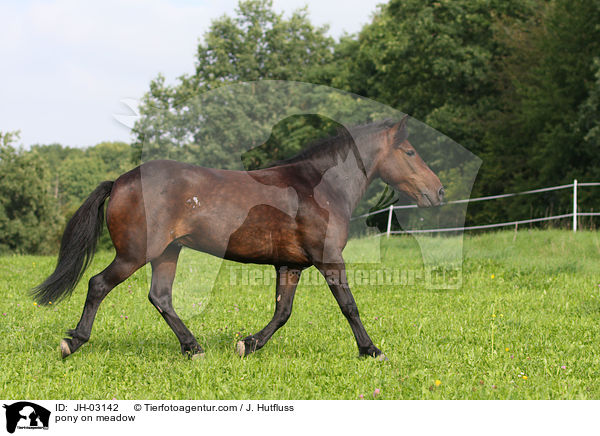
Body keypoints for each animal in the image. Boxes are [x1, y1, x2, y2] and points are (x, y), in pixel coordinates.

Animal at [34, 114, 446, 360]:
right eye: (410, 151)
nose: (439, 191)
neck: (319, 188)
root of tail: (120, 181)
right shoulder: (328, 258)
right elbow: (349, 306)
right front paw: (371, 350)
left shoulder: (290, 265)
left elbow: (282, 312)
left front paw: (247, 344)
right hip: (135, 254)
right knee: (98, 284)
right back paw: (72, 341)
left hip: (167, 253)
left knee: (160, 297)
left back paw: (194, 347)